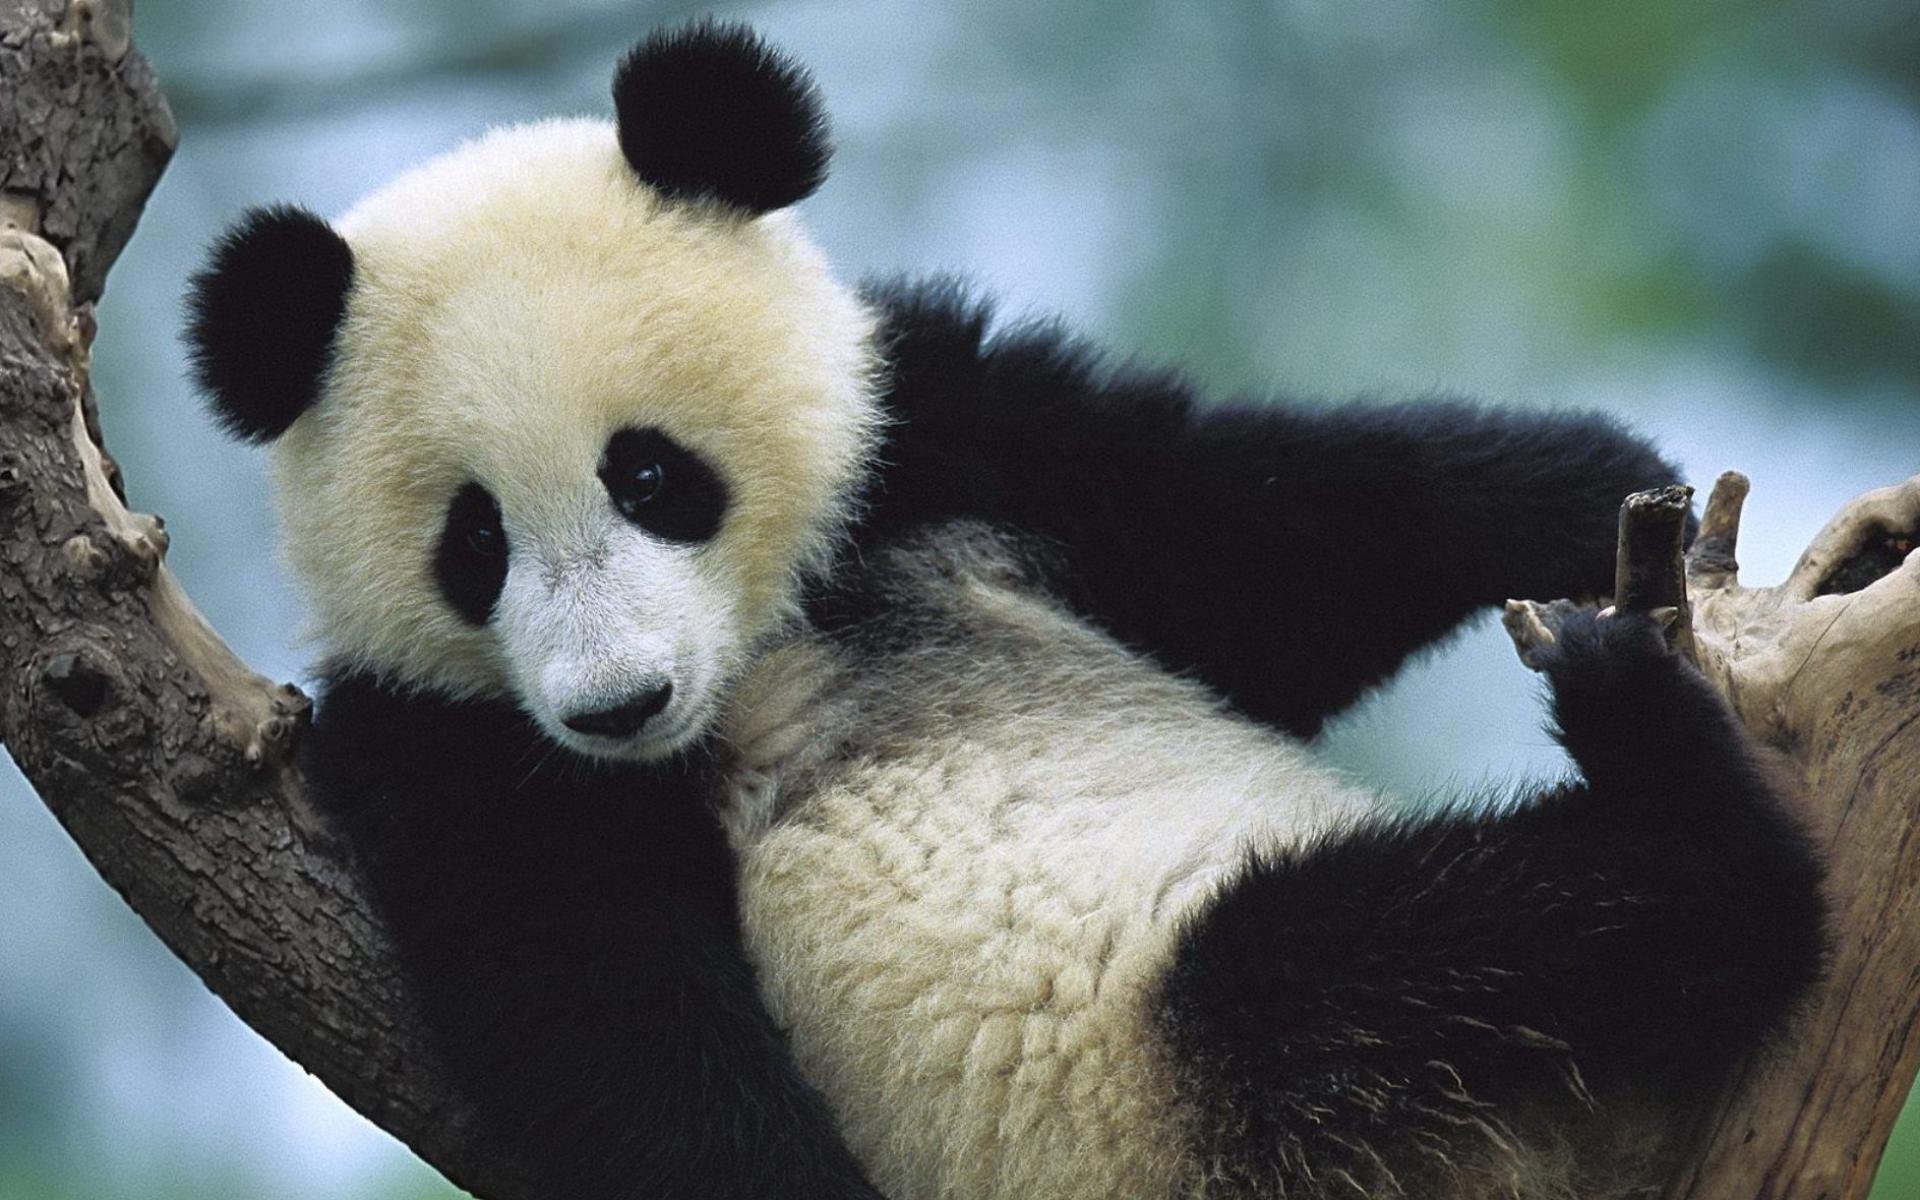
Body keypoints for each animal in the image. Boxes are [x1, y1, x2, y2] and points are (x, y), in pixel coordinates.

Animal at [185, 21, 1826, 1200]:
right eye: (476, 544)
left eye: (650, 474)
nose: (616, 703)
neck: (764, 648)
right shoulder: (452, 752)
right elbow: (609, 1020)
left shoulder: (940, 448)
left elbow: (1255, 541)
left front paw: (1600, 489)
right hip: (1198, 1080)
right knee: (1417, 956)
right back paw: (1656, 771)